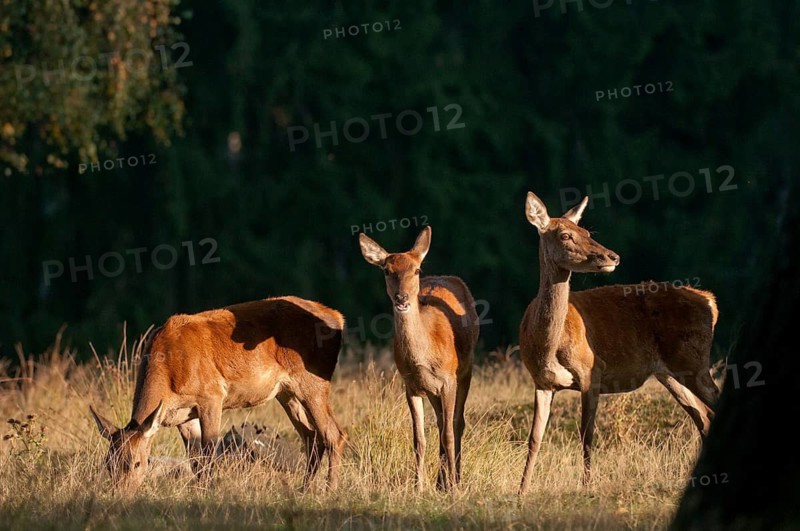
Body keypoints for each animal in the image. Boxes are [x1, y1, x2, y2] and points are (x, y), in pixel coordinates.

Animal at [89, 295, 348, 493]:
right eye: (107, 464)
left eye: (137, 463)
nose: (120, 494)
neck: (169, 373)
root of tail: (338, 317)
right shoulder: (184, 415)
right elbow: (195, 459)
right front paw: (197, 491)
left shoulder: (211, 395)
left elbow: (209, 451)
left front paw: (208, 491)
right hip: (287, 393)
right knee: (312, 436)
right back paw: (303, 489)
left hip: (313, 381)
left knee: (334, 433)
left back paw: (330, 490)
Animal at [359, 226, 479, 491]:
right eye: (387, 270)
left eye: (416, 270)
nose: (401, 298)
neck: (423, 357)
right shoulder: (411, 385)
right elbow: (419, 439)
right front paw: (418, 487)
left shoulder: (448, 379)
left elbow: (449, 433)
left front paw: (454, 489)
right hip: (432, 390)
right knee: (441, 422)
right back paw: (440, 482)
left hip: (466, 370)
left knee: (457, 423)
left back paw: (455, 479)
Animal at [517, 192, 720, 495]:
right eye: (565, 235)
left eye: (587, 232)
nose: (613, 256)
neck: (546, 347)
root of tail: (710, 300)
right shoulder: (542, 382)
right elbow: (534, 438)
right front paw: (522, 490)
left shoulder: (591, 370)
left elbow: (586, 434)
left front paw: (586, 486)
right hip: (671, 372)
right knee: (704, 416)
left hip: (694, 361)